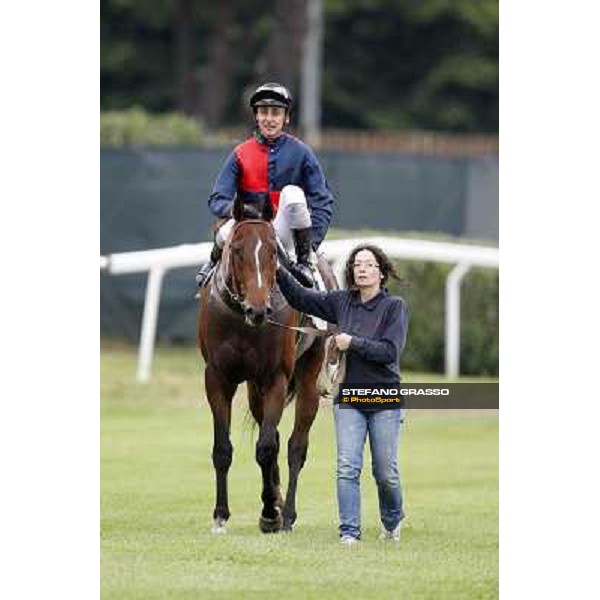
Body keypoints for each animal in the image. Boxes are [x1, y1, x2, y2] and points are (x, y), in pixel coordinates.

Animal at [197, 195, 338, 532]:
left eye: (274, 251)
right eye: (236, 249)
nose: (258, 309)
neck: (241, 319)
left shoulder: (276, 378)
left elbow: (266, 448)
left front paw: (271, 512)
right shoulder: (217, 378)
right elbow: (224, 448)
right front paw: (221, 514)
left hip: (308, 374)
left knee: (296, 445)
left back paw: (287, 513)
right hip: (253, 388)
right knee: (270, 434)